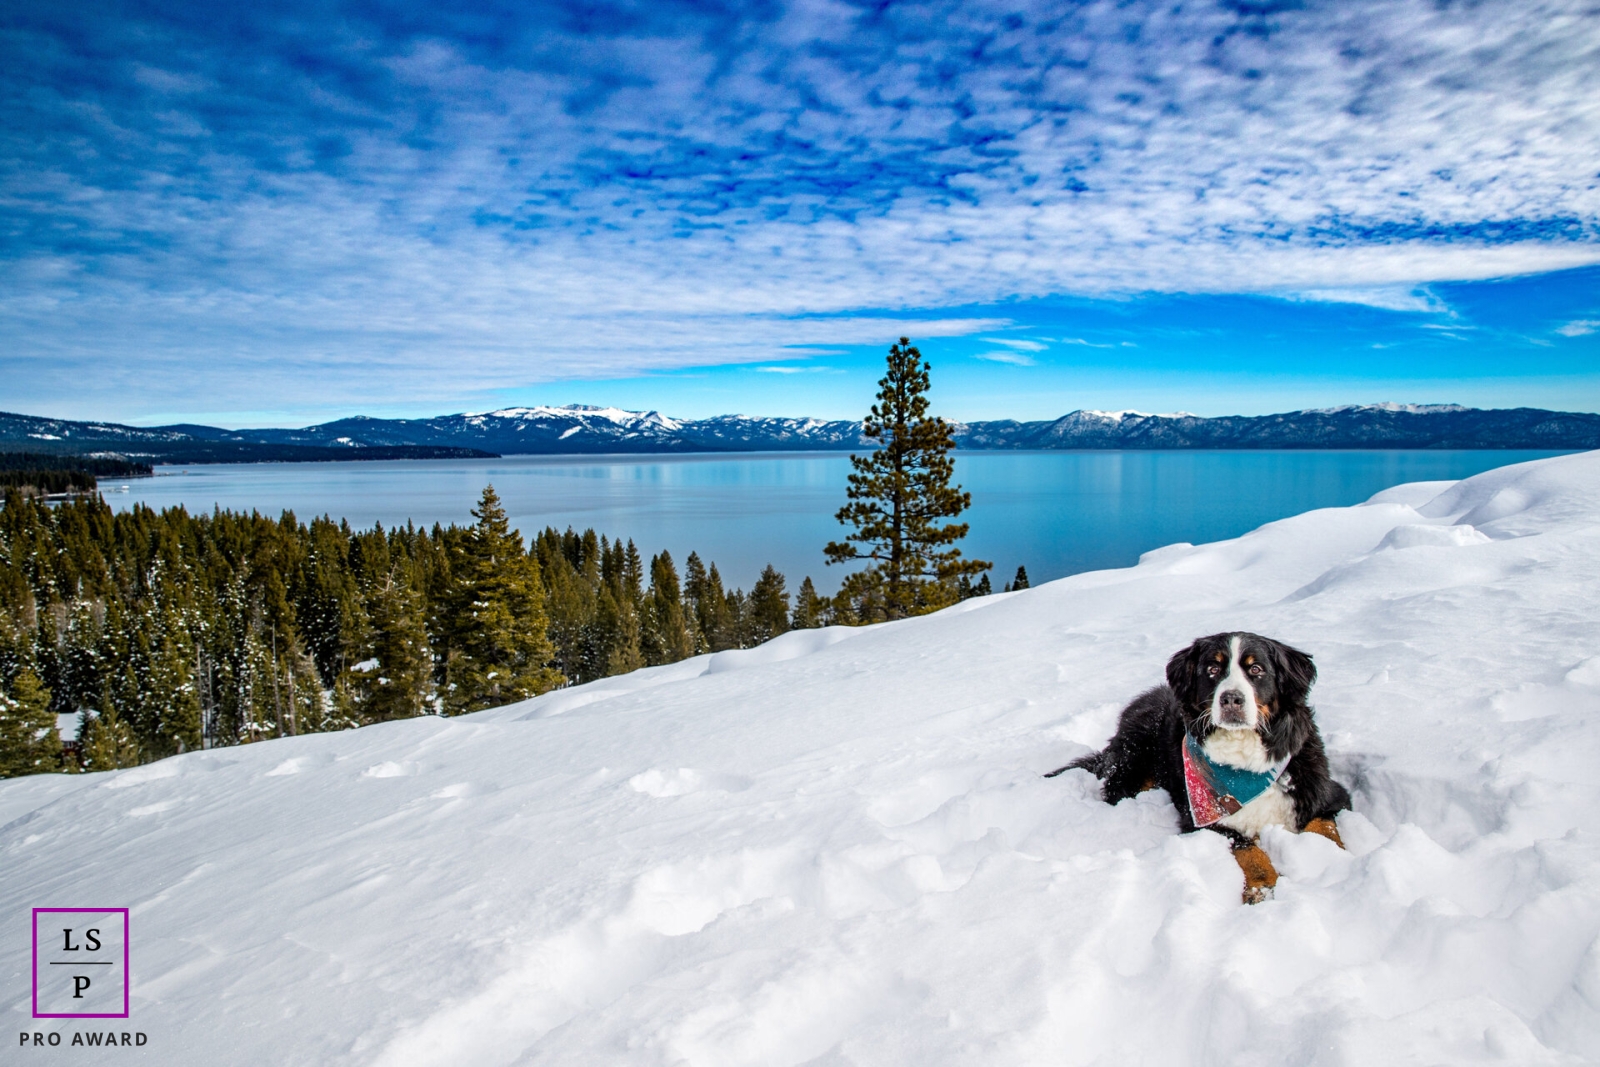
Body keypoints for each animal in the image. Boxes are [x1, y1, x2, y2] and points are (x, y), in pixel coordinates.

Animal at [1049, 630, 1350, 908]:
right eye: (1213, 670)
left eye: (1256, 669)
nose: (1231, 699)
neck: (1245, 766)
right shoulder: (1202, 821)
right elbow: (1248, 848)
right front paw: (1262, 886)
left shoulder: (1326, 793)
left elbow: (1324, 827)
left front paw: (1331, 859)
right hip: (1132, 760)